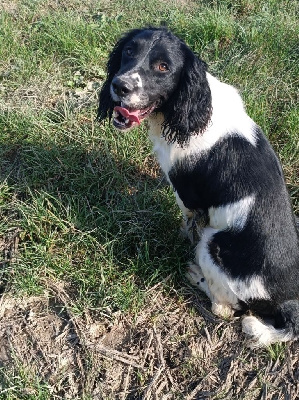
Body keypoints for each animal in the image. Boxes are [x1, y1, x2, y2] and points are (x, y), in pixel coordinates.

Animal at [98, 27, 299, 346]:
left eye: (163, 67)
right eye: (129, 51)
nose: (120, 85)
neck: (195, 109)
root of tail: (287, 302)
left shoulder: (187, 195)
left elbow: (187, 220)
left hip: (212, 243)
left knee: (223, 308)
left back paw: (196, 276)